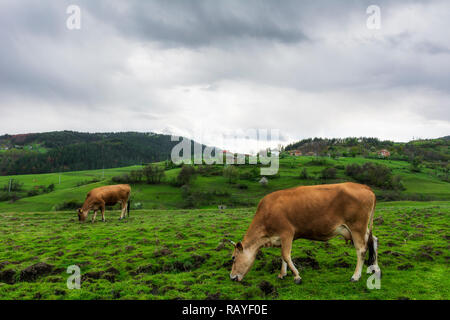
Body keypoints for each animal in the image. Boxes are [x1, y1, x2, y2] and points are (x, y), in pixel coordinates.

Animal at [229, 181, 380, 284]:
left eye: (233, 258)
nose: (231, 277)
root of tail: (364, 186)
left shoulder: (287, 233)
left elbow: (286, 255)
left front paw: (296, 276)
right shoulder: (280, 238)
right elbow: (282, 256)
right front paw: (282, 274)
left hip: (357, 227)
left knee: (361, 249)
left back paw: (356, 276)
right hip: (362, 229)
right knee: (374, 240)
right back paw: (375, 269)